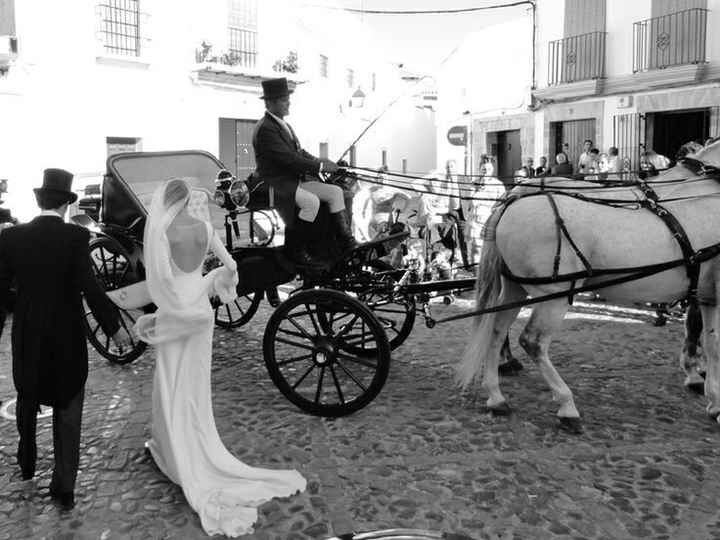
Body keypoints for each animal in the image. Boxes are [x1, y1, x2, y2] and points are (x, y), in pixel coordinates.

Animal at [458, 140, 720, 434]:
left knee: (496, 330)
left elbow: (710, 342)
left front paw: (711, 398)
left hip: (516, 288)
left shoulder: (708, 293)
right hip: (553, 296)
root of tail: (514, 197)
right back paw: (566, 405)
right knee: (533, 341)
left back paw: (496, 396)